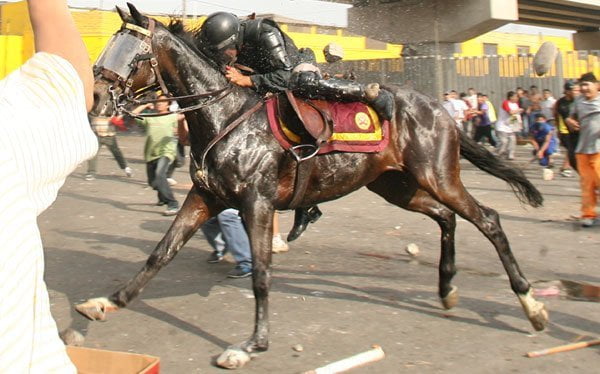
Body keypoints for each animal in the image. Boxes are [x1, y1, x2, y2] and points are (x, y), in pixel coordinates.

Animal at [78, 5, 548, 368]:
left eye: (134, 53)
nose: (96, 97)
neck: (223, 115)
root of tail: (440, 109)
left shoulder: (257, 203)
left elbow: (262, 274)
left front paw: (251, 345)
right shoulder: (206, 196)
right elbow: (161, 253)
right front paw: (109, 301)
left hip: (438, 175)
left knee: (488, 220)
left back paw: (532, 305)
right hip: (395, 186)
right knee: (446, 217)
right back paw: (448, 289)